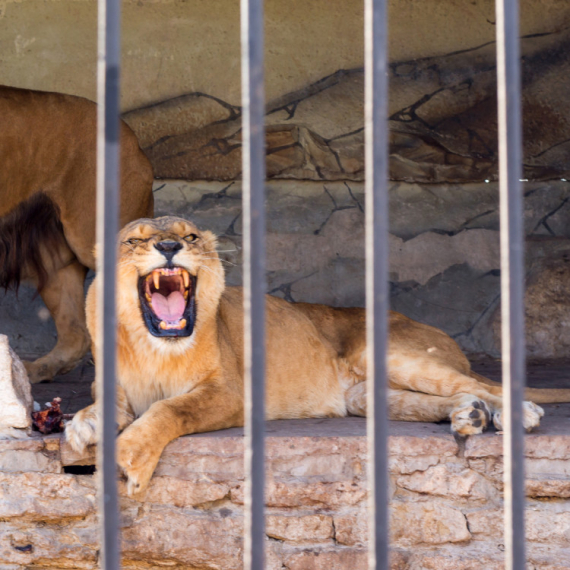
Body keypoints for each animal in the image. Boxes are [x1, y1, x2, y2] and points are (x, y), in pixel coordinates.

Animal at [66, 214, 570, 492]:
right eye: (136, 240)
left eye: (190, 238)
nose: (169, 246)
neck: (154, 348)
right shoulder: (115, 388)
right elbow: (101, 405)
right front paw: (80, 426)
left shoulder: (229, 394)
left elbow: (171, 409)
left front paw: (132, 454)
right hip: (363, 395)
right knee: (439, 399)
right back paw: (471, 415)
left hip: (394, 356)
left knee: (477, 383)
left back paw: (515, 412)